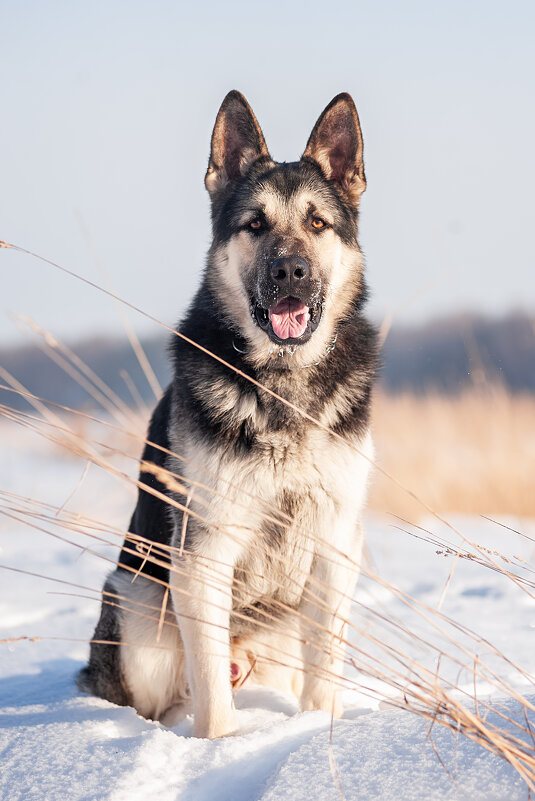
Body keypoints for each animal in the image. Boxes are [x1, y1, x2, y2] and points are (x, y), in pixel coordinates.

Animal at [80, 89, 382, 736]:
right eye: (255, 225)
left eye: (317, 223)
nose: (290, 272)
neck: (284, 383)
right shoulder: (205, 552)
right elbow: (213, 692)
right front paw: (218, 746)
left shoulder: (334, 546)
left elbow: (324, 671)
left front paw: (318, 732)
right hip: (140, 606)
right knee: (169, 693)